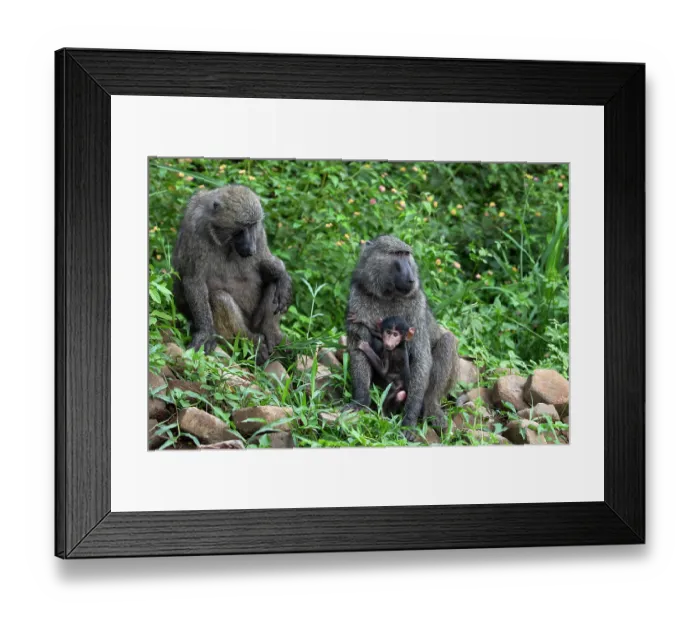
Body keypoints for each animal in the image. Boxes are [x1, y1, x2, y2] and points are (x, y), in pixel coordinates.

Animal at [172, 184, 293, 365]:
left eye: (253, 225)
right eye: (242, 227)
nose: (251, 248)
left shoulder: (260, 234)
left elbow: (263, 264)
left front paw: (282, 274)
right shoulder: (195, 228)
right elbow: (194, 281)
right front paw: (205, 333)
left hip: (255, 322)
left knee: (273, 285)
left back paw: (273, 336)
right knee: (219, 298)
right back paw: (253, 343)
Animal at [345, 235, 459, 438]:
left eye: (407, 255)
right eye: (397, 254)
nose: (411, 278)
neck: (388, 296)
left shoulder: (416, 305)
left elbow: (422, 358)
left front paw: (409, 420)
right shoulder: (357, 298)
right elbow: (359, 347)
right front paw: (360, 401)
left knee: (448, 340)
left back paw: (431, 407)